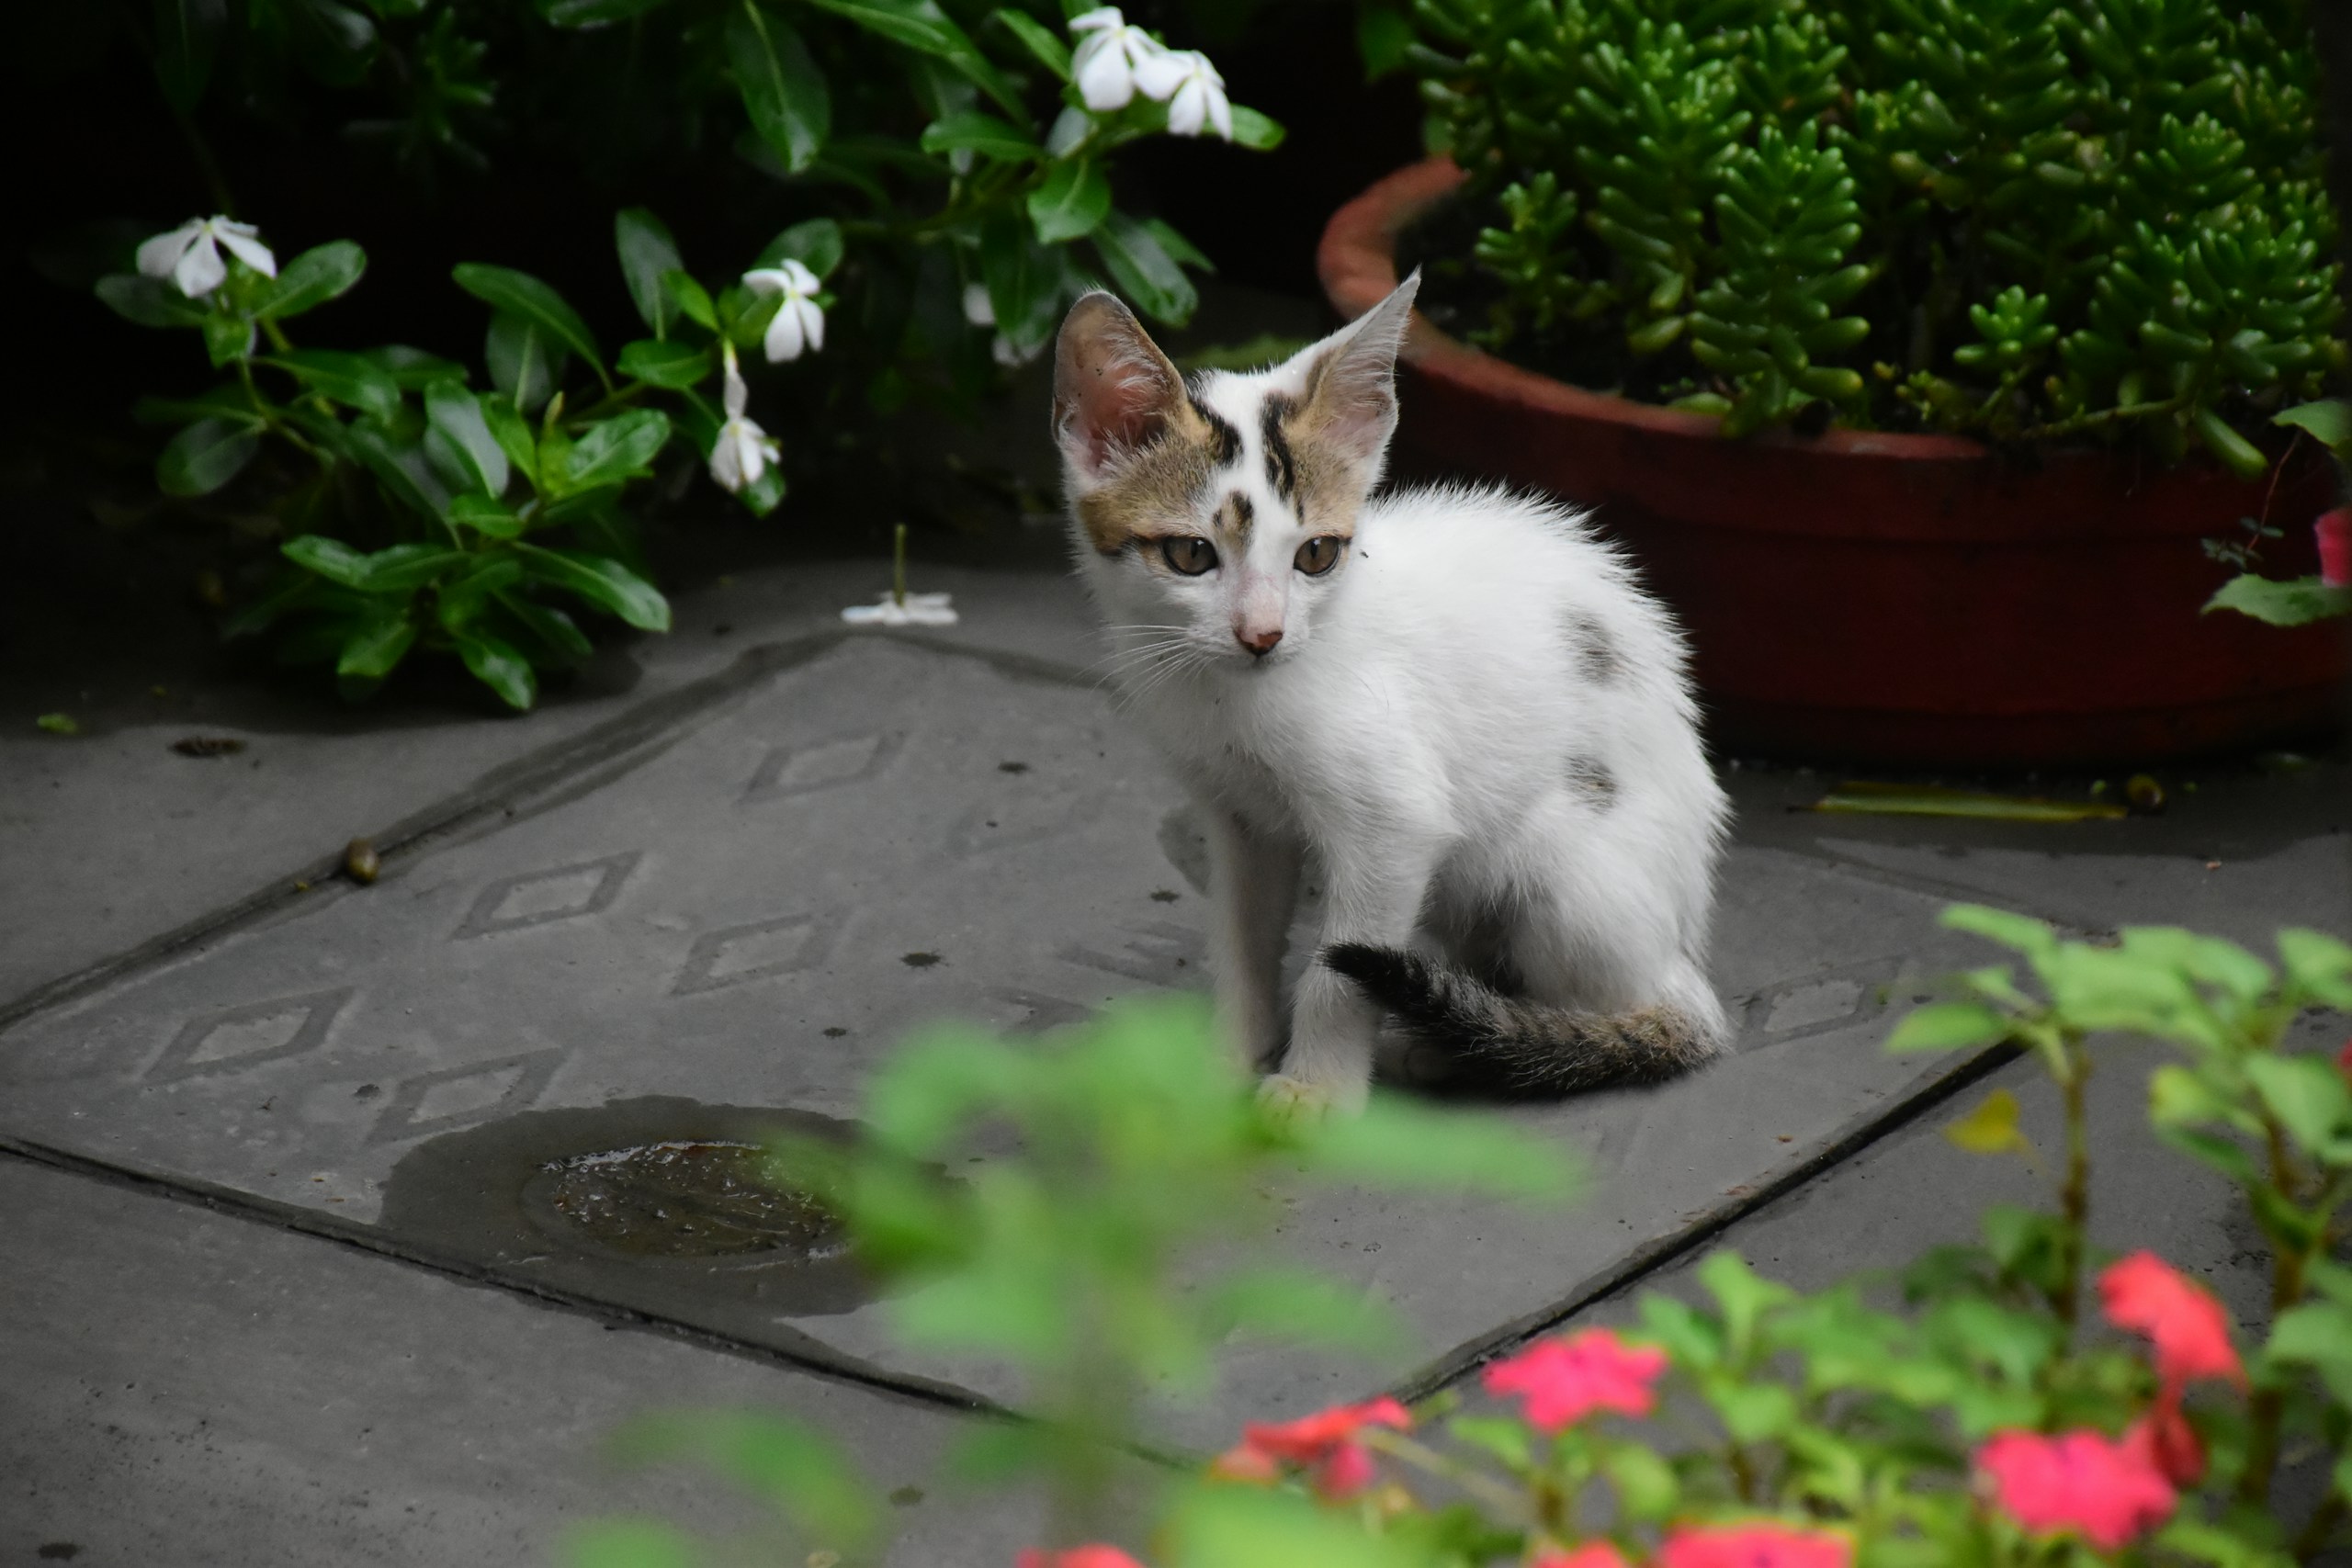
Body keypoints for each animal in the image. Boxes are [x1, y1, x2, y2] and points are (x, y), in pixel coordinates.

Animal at [1048, 278, 1731, 1114]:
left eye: (1316, 554)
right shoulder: (1237, 815)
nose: (1263, 634)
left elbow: (1339, 970)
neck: (1229, 698)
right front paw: (1220, 1064)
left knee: (1643, 1008)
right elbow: (1240, 938)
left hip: (1563, 878)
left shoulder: (1395, 826)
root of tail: (1686, 949)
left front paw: (1314, 1093)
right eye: (1189, 554)